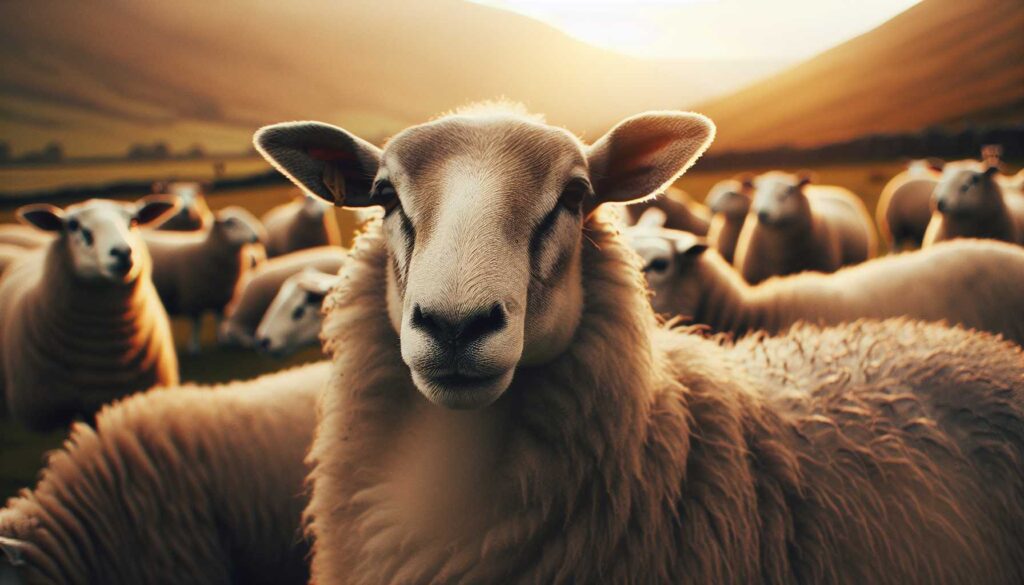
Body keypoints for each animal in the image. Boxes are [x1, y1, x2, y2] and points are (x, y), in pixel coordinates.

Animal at [143, 207, 266, 354]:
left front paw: (221, 339)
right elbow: (197, 324)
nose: (257, 236)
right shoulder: (194, 298)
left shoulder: (221, 299)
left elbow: (219, 320)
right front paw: (194, 346)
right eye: (231, 223)